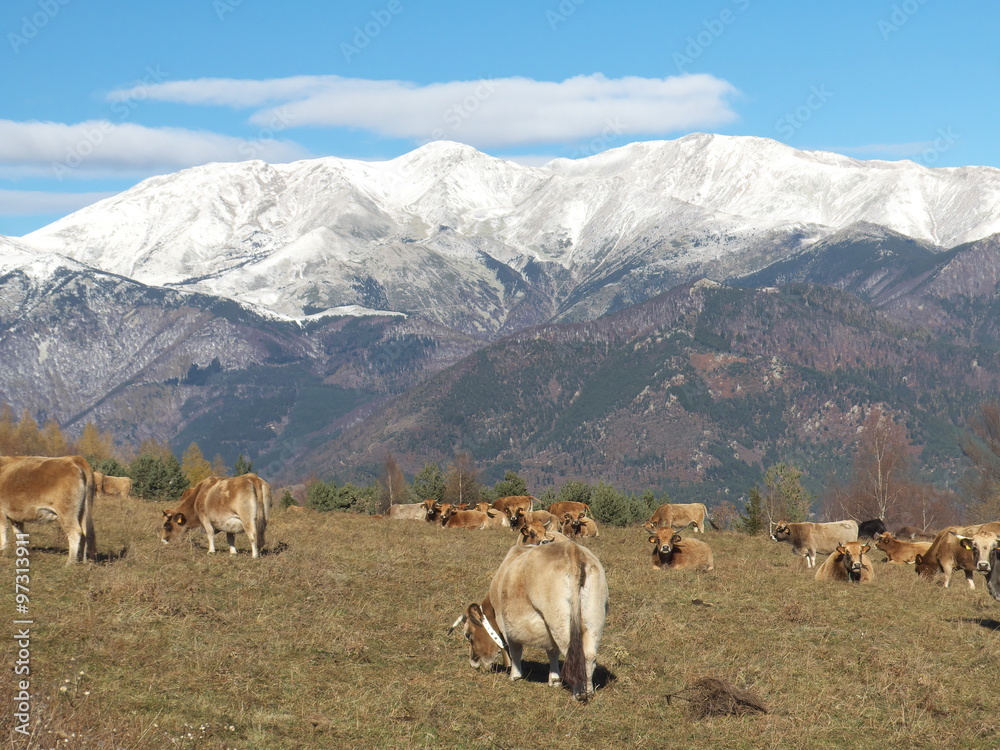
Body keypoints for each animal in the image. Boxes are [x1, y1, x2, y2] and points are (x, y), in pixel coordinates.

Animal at [450, 540, 604, 704]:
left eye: (468, 635)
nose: (473, 663)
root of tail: (571, 548)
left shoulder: (505, 624)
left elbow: (515, 650)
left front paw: (515, 675)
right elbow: (552, 652)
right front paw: (554, 679)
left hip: (559, 620)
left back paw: (578, 693)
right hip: (593, 618)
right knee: (589, 656)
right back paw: (588, 690)